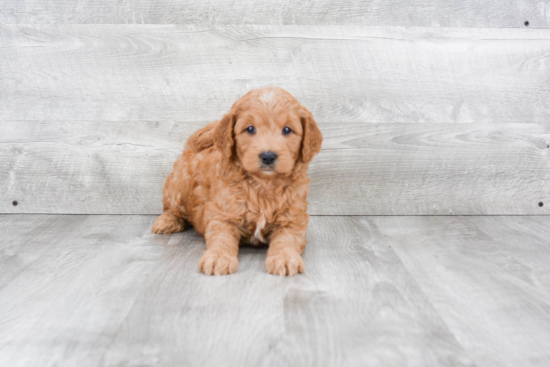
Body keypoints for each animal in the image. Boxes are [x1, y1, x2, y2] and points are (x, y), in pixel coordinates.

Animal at [151, 87, 324, 276]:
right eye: (250, 129)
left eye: (287, 130)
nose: (268, 156)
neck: (263, 184)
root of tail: (192, 150)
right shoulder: (222, 214)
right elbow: (222, 238)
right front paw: (218, 257)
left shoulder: (292, 218)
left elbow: (287, 239)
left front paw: (284, 258)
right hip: (179, 186)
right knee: (171, 208)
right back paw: (166, 222)